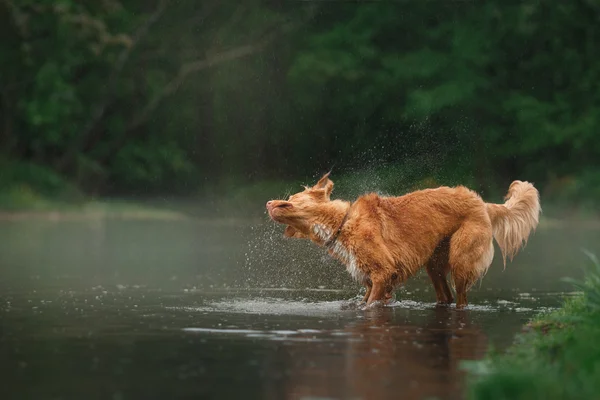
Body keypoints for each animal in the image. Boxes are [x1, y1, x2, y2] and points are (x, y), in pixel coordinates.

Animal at [264, 173, 540, 308]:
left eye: (291, 197)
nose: (267, 202)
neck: (343, 223)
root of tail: (482, 203)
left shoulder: (384, 272)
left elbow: (370, 305)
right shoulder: (371, 280)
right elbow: (366, 301)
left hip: (461, 261)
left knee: (461, 300)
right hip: (434, 264)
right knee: (446, 297)